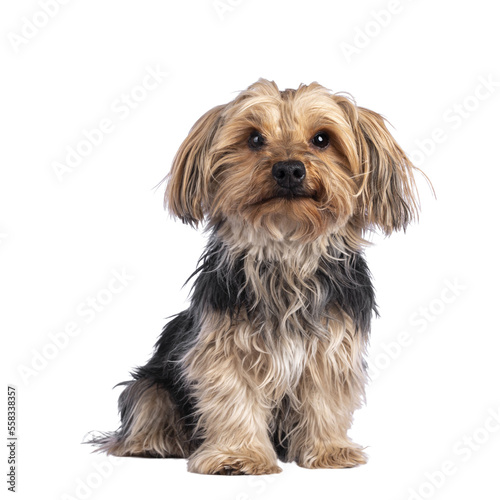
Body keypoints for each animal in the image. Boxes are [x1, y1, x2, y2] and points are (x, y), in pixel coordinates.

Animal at [91, 78, 430, 472]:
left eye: (322, 139)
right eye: (254, 139)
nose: (289, 169)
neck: (286, 250)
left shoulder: (331, 348)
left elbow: (325, 398)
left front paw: (328, 450)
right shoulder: (224, 348)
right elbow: (232, 397)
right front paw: (238, 456)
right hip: (151, 381)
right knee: (147, 403)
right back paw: (153, 443)